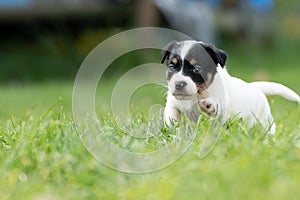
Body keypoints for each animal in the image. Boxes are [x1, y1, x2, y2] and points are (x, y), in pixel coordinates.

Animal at [162, 39, 300, 134]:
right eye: (171, 66)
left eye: (197, 69)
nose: (179, 84)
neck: (197, 94)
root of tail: (254, 87)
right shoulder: (173, 104)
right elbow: (171, 116)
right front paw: (171, 129)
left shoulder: (221, 103)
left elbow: (216, 105)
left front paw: (208, 105)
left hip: (264, 122)